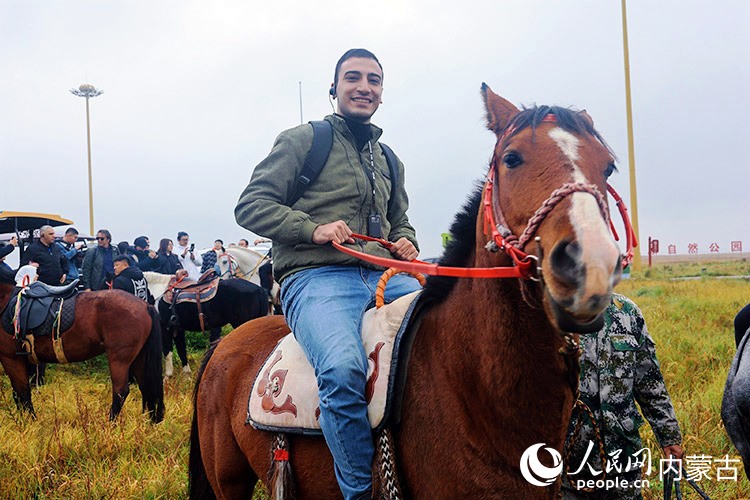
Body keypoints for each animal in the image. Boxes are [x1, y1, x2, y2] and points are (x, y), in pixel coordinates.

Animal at [0, 270, 166, 422]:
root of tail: (145, 305)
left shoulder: (11, 359)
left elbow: (22, 393)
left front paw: (30, 422)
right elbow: (21, 393)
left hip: (119, 359)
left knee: (121, 391)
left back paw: (110, 424)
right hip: (139, 358)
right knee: (146, 387)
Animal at [191, 88, 624, 498]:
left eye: (608, 166)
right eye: (512, 158)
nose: (590, 265)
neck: (470, 383)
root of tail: (225, 344)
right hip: (229, 482)